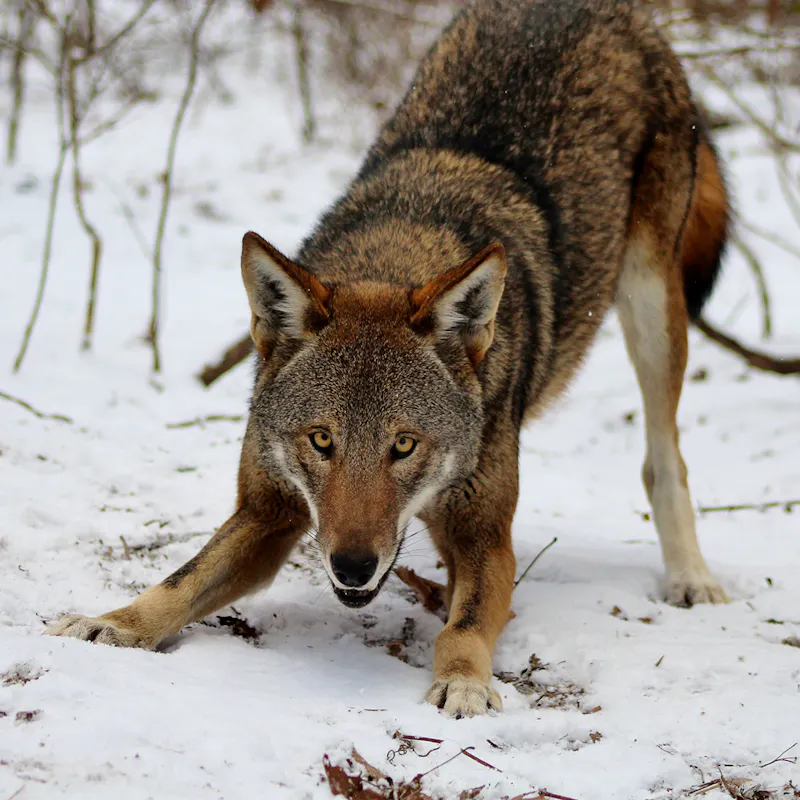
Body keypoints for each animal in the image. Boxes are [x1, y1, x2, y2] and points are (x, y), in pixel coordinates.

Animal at [50, 0, 730, 716]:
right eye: (322, 440)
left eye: (403, 445)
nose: (352, 567)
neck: (398, 252)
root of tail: (616, 12)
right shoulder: (267, 511)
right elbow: (179, 581)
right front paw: (112, 623)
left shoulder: (487, 537)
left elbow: (465, 626)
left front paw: (463, 682)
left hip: (653, 308)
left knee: (664, 457)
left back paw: (691, 577)